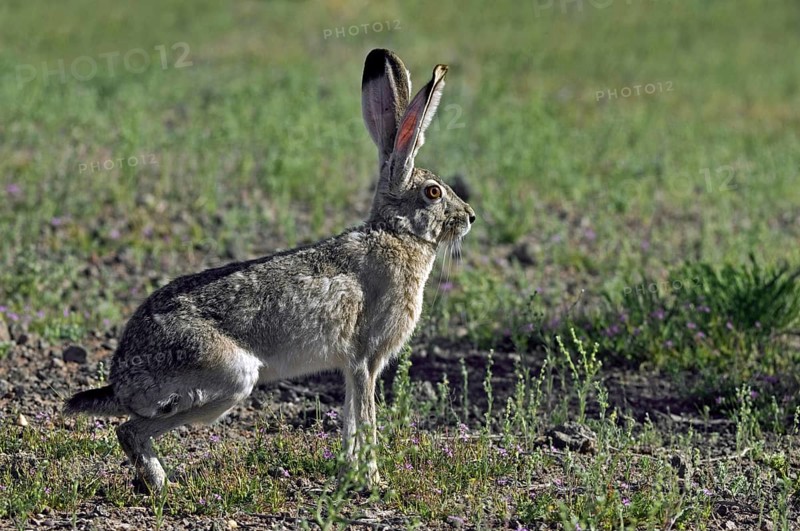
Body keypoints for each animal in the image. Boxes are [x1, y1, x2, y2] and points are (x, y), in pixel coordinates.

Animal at [64, 48, 475, 492]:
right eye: (433, 193)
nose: (470, 216)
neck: (398, 233)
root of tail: (121, 380)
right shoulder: (366, 358)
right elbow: (366, 419)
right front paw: (374, 482)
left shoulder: (352, 367)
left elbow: (351, 420)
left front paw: (351, 476)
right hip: (228, 379)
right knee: (130, 428)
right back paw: (162, 484)